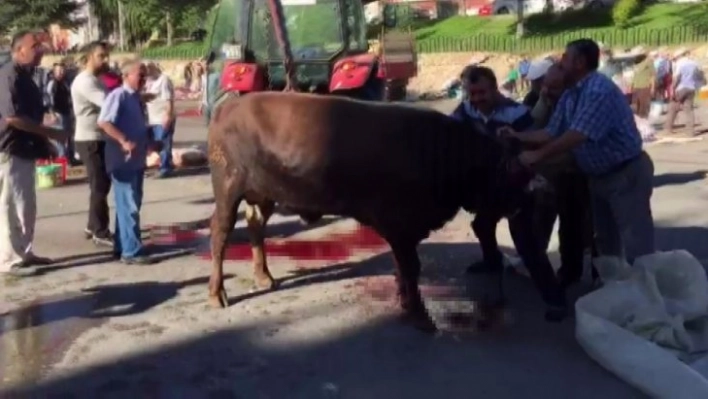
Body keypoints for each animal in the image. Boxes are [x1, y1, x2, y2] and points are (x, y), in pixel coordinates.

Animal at [207, 91, 532, 332]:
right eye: (513, 175)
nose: (520, 204)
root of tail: (228, 106)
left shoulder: (404, 232)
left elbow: (404, 269)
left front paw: (406, 303)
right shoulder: (401, 227)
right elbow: (410, 268)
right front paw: (420, 315)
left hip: (264, 195)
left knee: (255, 225)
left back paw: (263, 276)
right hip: (229, 189)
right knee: (220, 233)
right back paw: (217, 293)